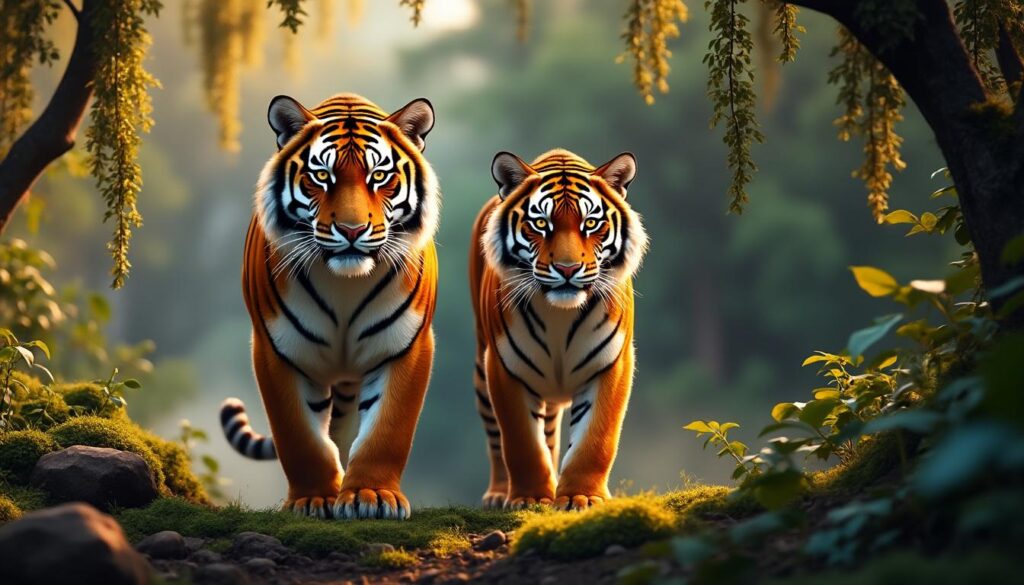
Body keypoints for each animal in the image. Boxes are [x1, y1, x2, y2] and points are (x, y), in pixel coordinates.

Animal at [220, 93, 439, 520]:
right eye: (322, 176)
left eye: (379, 177)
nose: (352, 231)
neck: (345, 285)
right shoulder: (276, 350)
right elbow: (299, 436)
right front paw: (313, 499)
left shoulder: (406, 346)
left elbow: (387, 430)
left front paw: (372, 495)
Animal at [468, 148, 648, 511]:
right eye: (541, 223)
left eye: (590, 223)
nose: (567, 269)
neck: (559, 316)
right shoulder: (504, 368)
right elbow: (521, 442)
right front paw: (529, 498)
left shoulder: (612, 364)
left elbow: (595, 440)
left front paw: (581, 496)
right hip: (482, 371)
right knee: (496, 439)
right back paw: (499, 493)